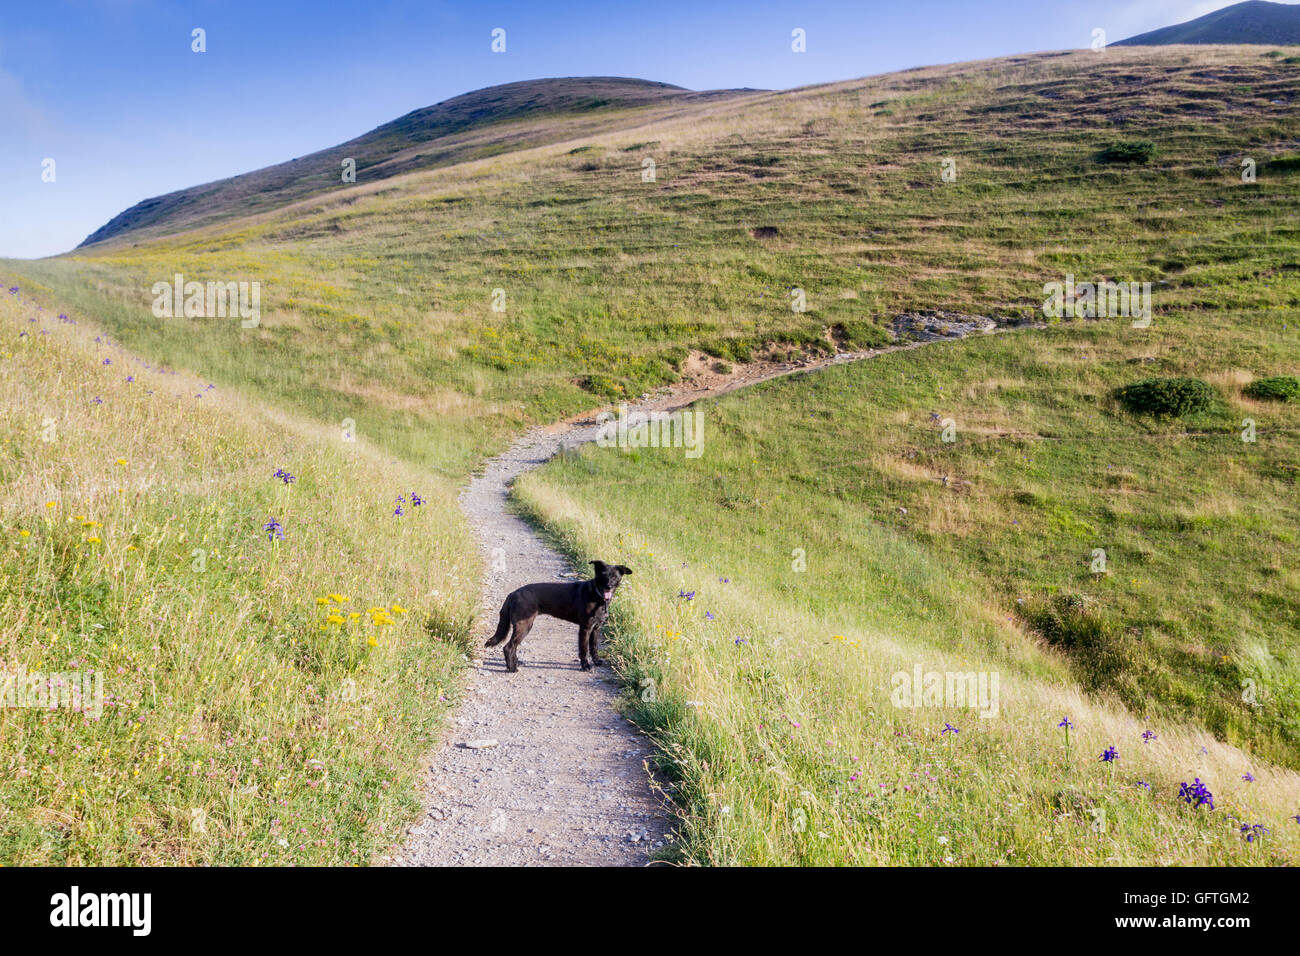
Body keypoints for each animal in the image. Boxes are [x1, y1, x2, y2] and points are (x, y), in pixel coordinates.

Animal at [486, 561, 631, 671]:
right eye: (603, 575)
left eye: (614, 576)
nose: (608, 586)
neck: (597, 596)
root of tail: (513, 594)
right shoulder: (585, 628)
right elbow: (584, 650)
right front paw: (586, 666)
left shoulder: (596, 628)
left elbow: (594, 647)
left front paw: (597, 661)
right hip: (524, 625)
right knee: (509, 647)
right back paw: (512, 668)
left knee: (513, 647)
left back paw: (516, 663)